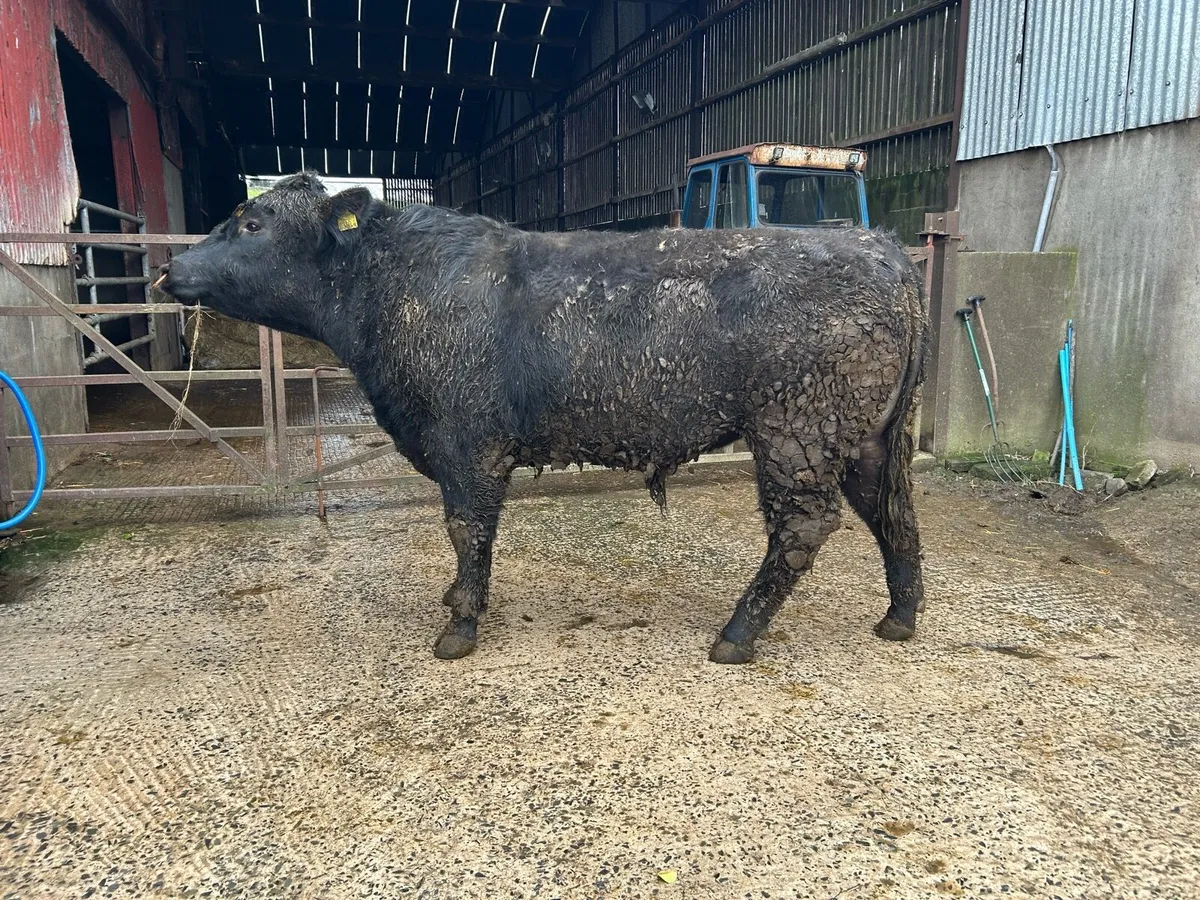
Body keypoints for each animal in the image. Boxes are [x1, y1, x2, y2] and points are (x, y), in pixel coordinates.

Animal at [158, 172, 929, 664]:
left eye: (251, 222)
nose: (169, 270)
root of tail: (882, 248)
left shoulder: (467, 443)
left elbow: (467, 529)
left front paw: (459, 627)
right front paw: (455, 603)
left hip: (798, 429)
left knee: (805, 525)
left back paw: (736, 635)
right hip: (861, 435)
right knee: (890, 510)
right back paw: (899, 618)